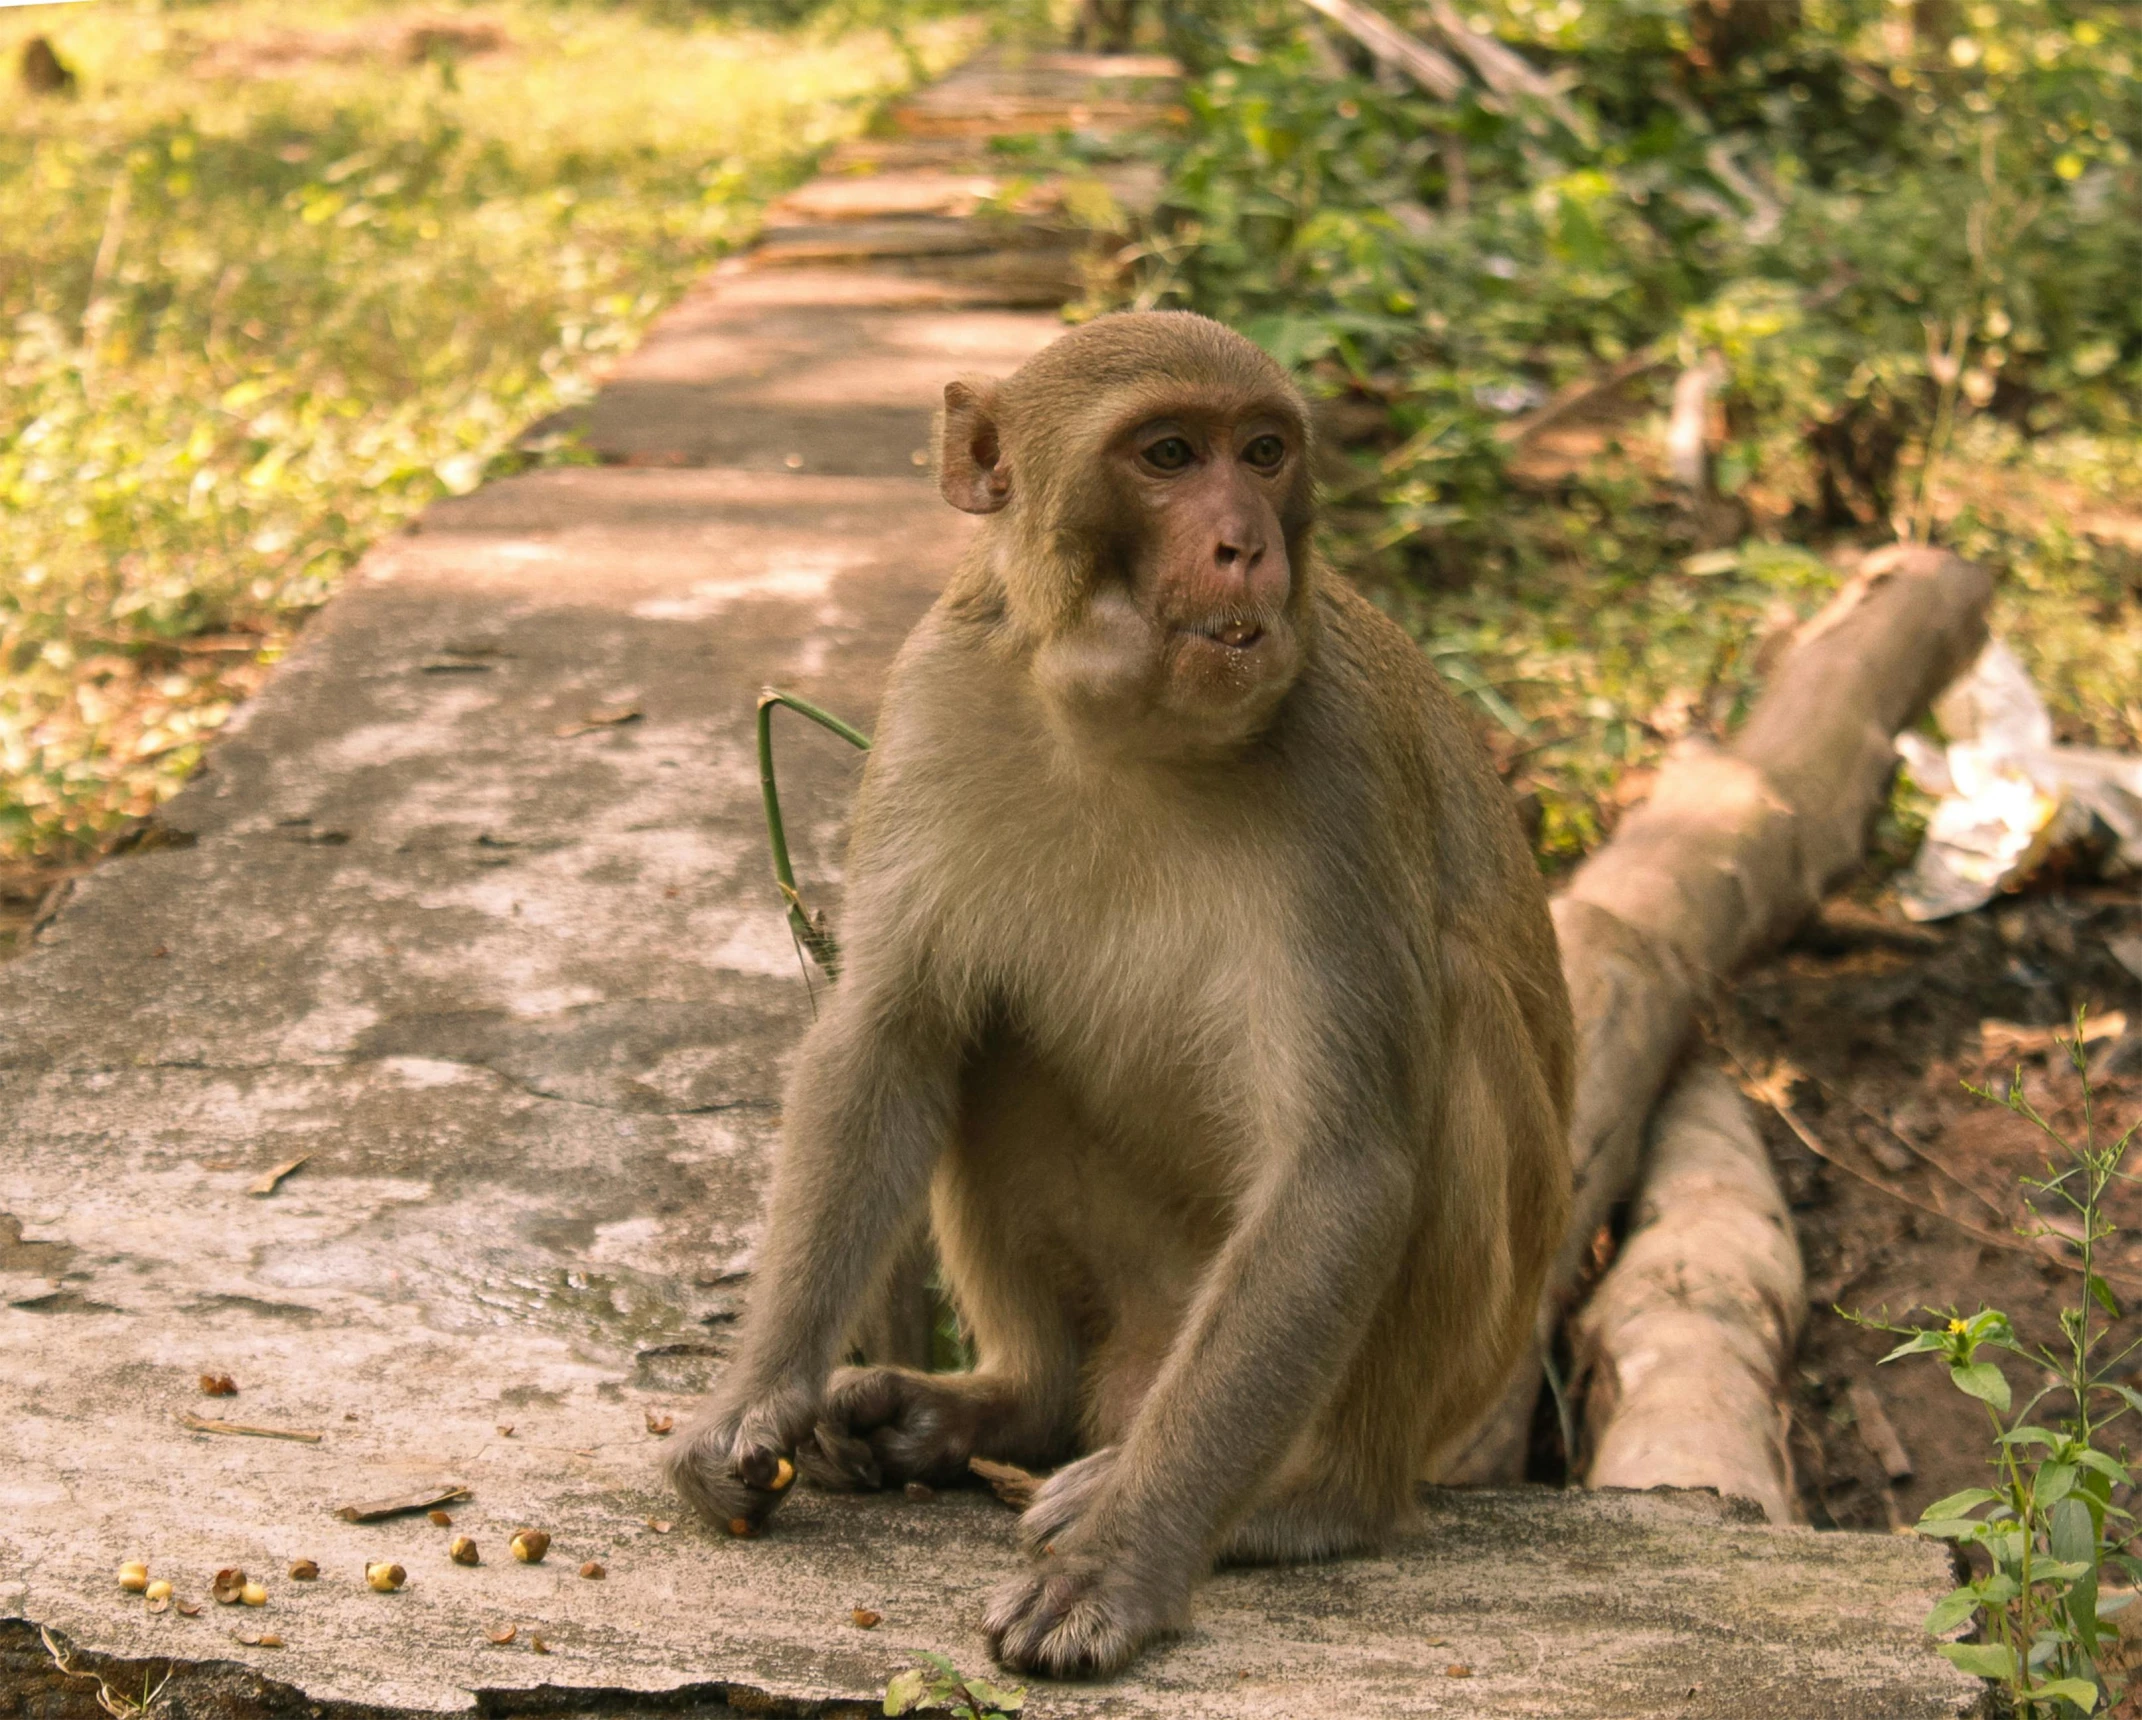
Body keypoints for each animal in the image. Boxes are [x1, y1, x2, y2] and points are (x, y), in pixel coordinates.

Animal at [668, 308, 1576, 1679]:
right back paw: (998, 1404)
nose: (1244, 542)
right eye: (1167, 454)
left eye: (1263, 452)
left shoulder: (1340, 758)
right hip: (1133, 1307)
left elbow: (1340, 1167)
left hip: (1444, 1366)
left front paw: (1124, 1562)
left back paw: (1311, 1495)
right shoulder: (934, 691)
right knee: (983, 1036)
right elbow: (889, 1038)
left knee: (1454, 1014)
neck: (1120, 726)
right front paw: (751, 1400)